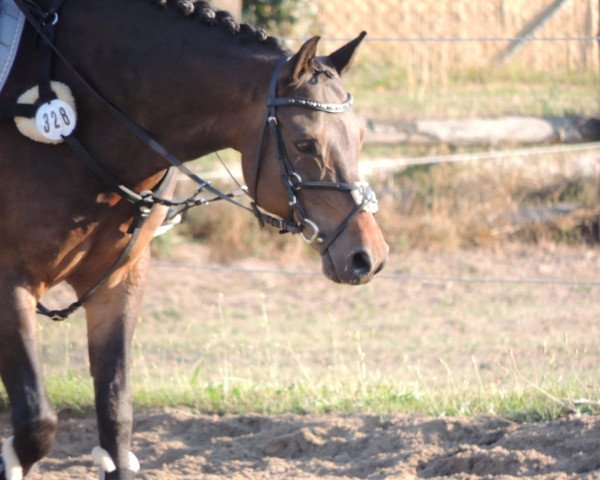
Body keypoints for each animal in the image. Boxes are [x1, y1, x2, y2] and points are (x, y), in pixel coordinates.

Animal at [0, 0, 390, 476]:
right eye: (305, 144)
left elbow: (116, 419)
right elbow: (36, 425)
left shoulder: (119, 282)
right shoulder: (9, 284)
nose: (367, 256)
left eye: (361, 137)